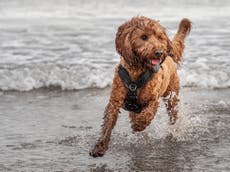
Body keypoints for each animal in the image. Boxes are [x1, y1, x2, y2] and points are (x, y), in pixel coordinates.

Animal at [89, 16, 190, 157]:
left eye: (159, 37)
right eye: (144, 37)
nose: (159, 52)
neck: (137, 70)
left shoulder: (153, 99)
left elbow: (148, 113)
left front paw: (139, 125)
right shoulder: (115, 100)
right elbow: (108, 123)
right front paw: (100, 147)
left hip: (171, 96)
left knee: (172, 113)